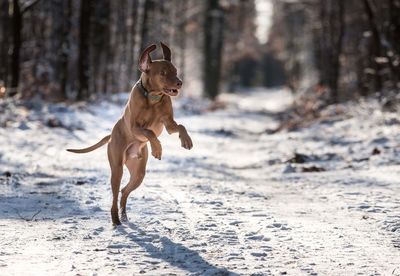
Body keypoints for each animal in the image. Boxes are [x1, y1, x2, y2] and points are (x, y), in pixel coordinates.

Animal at [68, 42, 193, 224]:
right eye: (163, 73)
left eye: (175, 71)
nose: (180, 83)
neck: (153, 97)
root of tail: (111, 136)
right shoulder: (135, 126)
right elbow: (149, 131)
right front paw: (157, 148)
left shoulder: (169, 124)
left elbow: (181, 126)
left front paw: (186, 141)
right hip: (117, 168)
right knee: (115, 193)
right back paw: (116, 219)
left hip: (139, 173)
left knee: (124, 191)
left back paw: (124, 215)